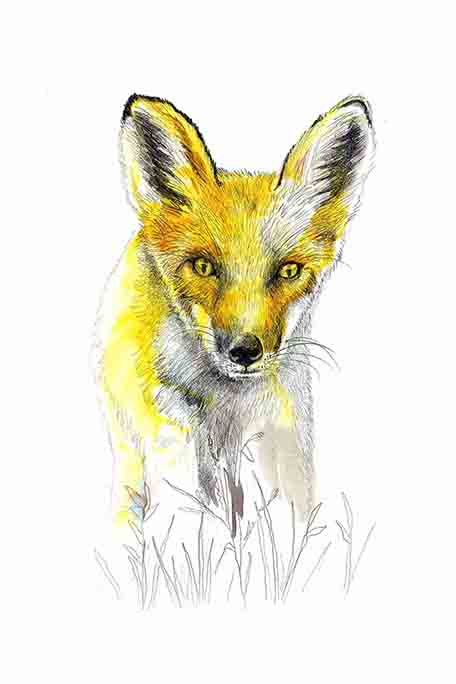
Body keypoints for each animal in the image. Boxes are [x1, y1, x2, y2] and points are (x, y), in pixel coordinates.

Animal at [95, 94, 375, 530]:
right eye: (203, 266)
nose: (245, 352)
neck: (225, 412)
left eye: (289, 271)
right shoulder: (167, 436)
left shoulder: (280, 442)